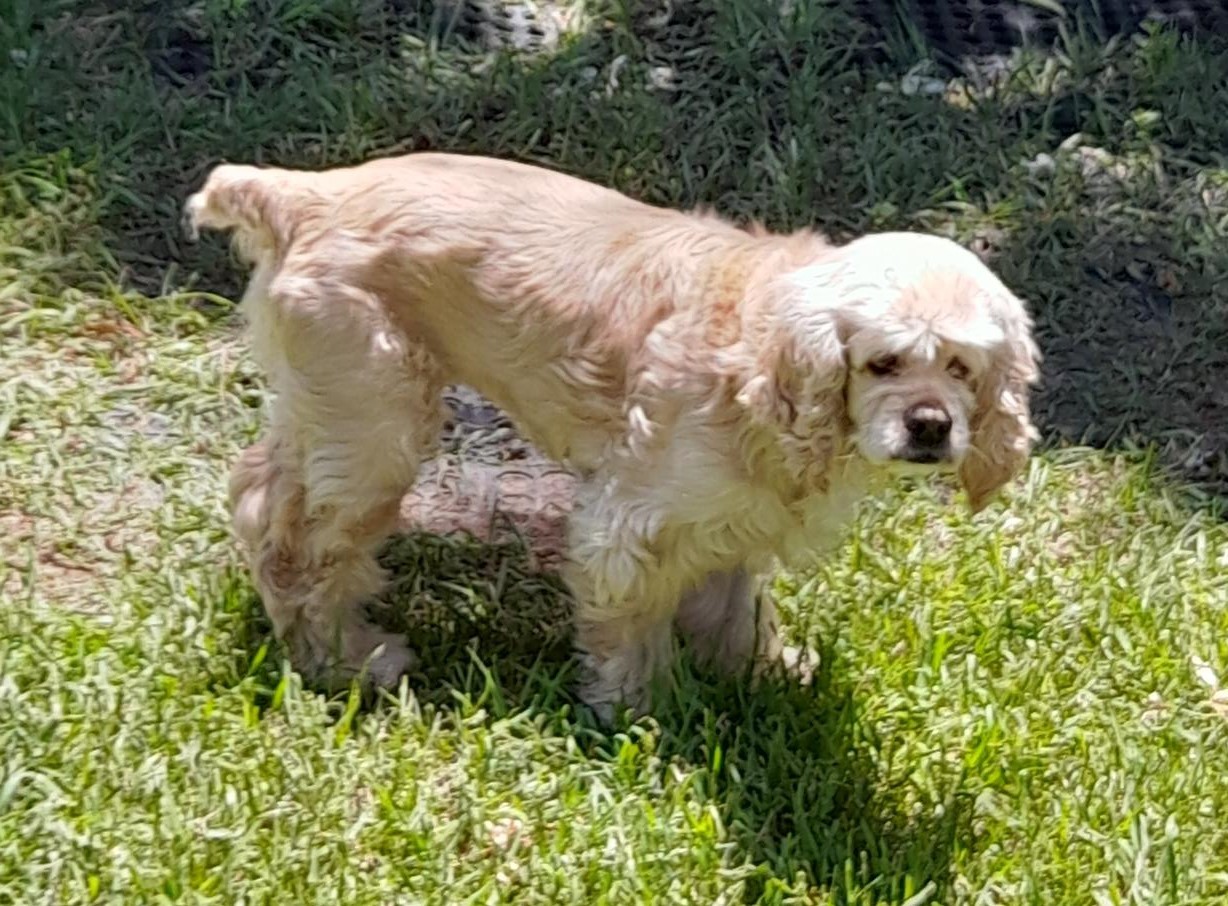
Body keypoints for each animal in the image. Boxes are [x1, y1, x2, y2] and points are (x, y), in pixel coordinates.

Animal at [186, 155, 1041, 721]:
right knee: (289, 536)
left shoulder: (737, 517)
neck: (765, 354)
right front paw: (641, 715)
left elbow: (736, 607)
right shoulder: (634, 523)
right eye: (884, 362)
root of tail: (304, 192)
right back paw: (349, 660)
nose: (930, 425)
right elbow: (632, 629)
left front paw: (762, 674)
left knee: (262, 493)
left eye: (962, 368)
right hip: (374, 427)